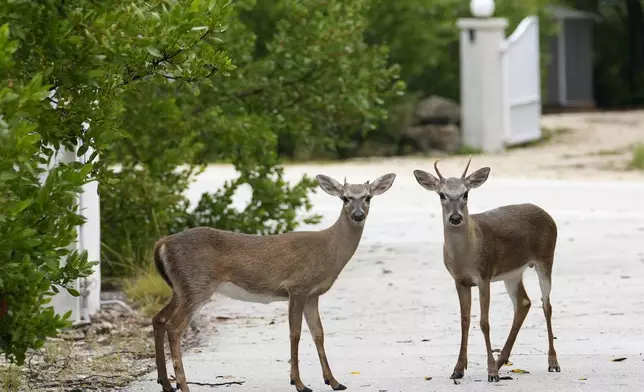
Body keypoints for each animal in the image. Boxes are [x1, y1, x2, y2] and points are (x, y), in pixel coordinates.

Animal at [152, 174, 398, 392]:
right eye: (345, 198)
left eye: (368, 197)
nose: (358, 215)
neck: (328, 251)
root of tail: (162, 243)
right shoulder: (297, 286)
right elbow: (295, 333)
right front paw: (299, 383)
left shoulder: (313, 294)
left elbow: (318, 333)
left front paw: (334, 381)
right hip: (197, 284)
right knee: (174, 327)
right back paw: (183, 385)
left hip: (181, 288)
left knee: (159, 319)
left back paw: (166, 383)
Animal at [412, 157, 560, 382]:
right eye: (441, 194)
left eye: (465, 193)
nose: (455, 218)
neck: (467, 254)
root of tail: (548, 216)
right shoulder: (460, 280)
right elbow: (465, 321)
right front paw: (458, 369)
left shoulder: (484, 275)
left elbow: (484, 322)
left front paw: (490, 372)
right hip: (513, 273)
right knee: (524, 302)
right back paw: (501, 362)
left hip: (546, 257)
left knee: (546, 305)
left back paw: (552, 362)